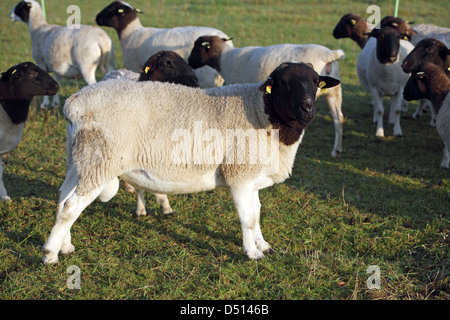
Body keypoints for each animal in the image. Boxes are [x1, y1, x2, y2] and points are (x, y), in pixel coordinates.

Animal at [42, 61, 342, 264]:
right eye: (283, 83)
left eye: (315, 81)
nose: (308, 109)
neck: (262, 112)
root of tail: (74, 104)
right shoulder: (239, 176)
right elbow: (246, 218)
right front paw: (252, 253)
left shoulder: (251, 177)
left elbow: (256, 214)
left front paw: (263, 244)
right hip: (100, 161)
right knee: (71, 207)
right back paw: (49, 255)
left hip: (79, 159)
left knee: (62, 198)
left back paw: (64, 247)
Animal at [188, 35, 346, 157]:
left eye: (196, 48)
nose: (189, 62)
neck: (224, 58)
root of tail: (328, 54)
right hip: (334, 92)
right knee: (338, 117)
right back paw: (336, 150)